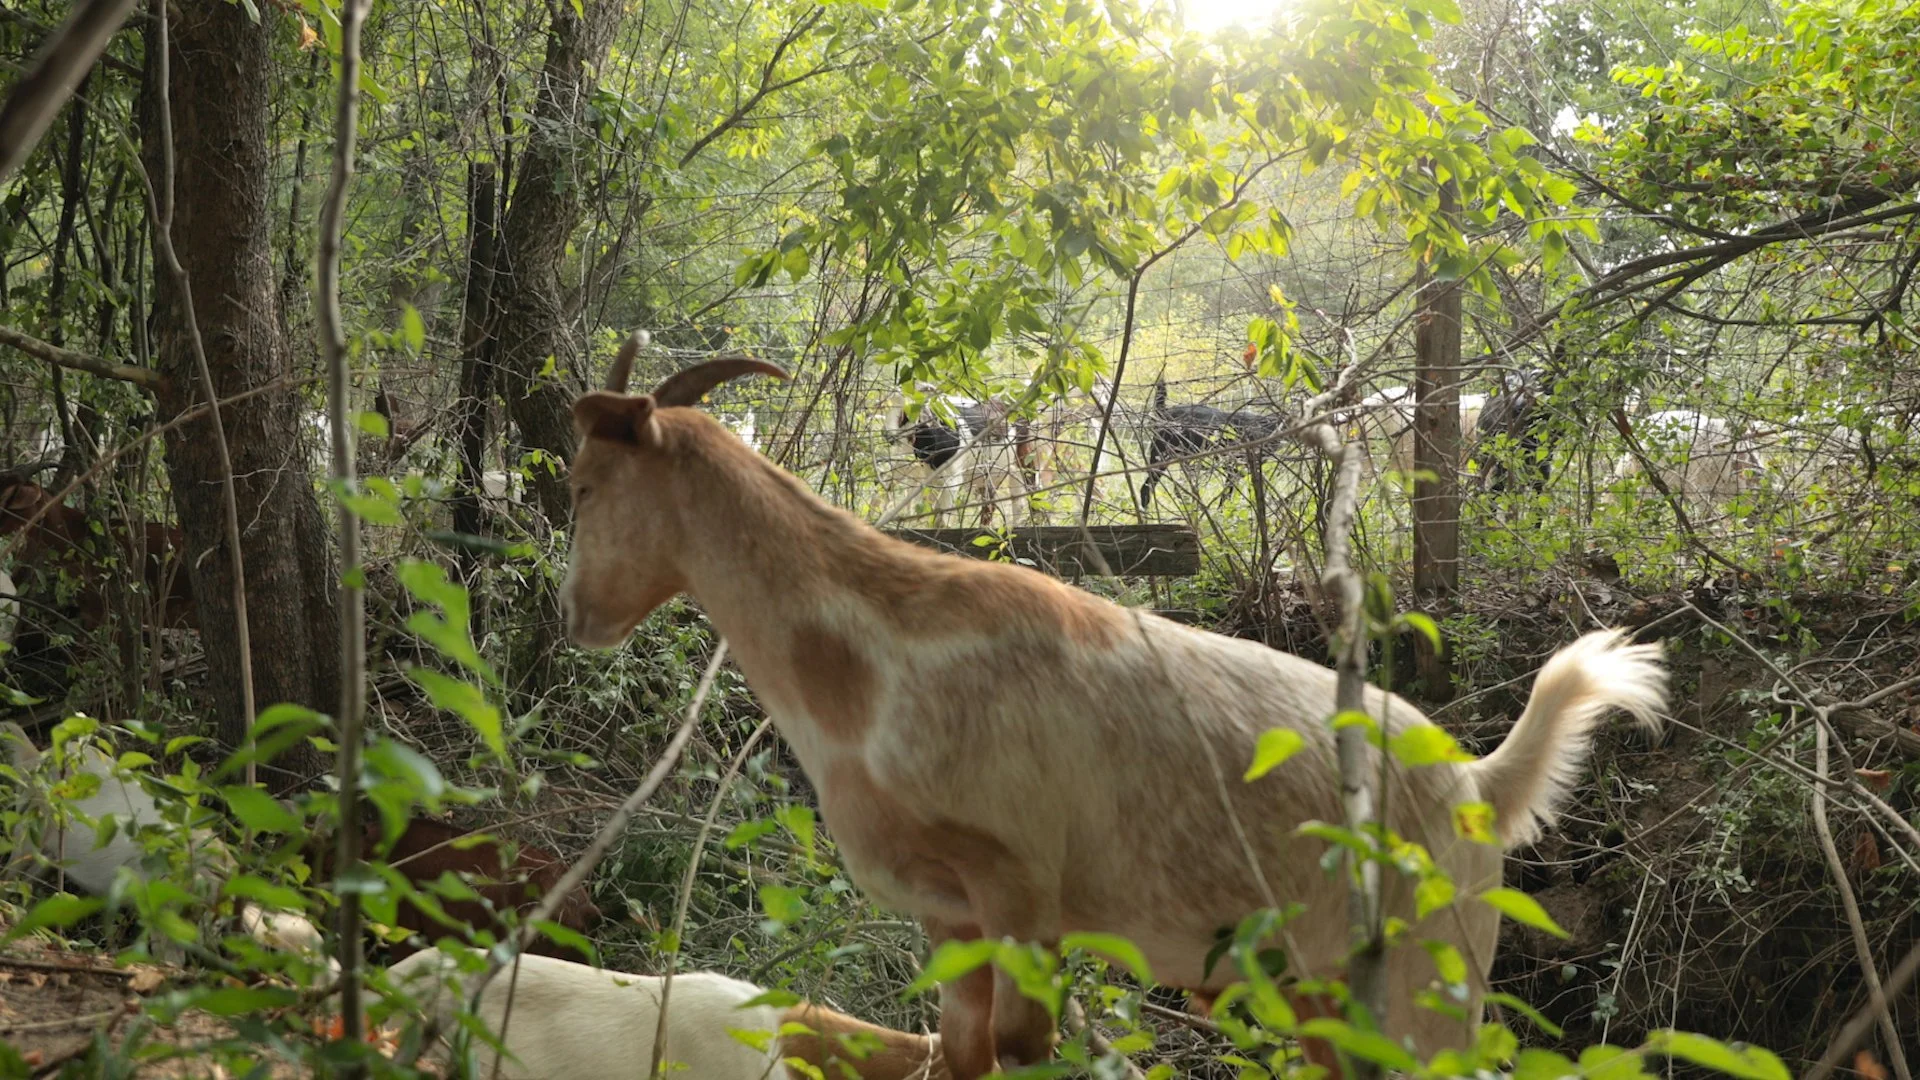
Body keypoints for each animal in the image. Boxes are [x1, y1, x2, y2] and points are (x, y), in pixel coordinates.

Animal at [0, 721, 333, 974]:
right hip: (26, 829)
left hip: (46, 853)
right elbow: (171, 959)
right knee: (10, 874)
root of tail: (35, 757)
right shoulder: (161, 908)